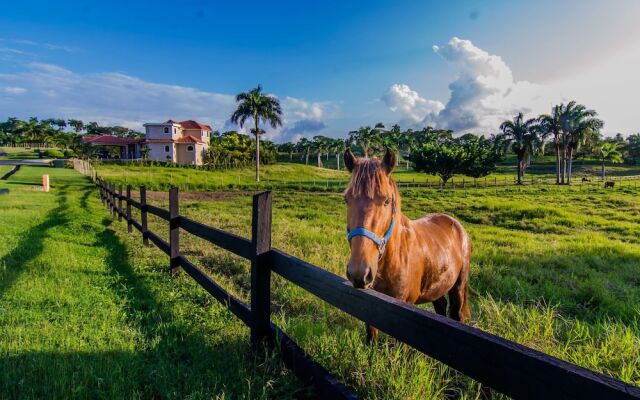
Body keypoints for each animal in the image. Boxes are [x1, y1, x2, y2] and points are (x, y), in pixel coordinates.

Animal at [342, 148, 472, 342]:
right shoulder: (371, 307)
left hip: (458, 288)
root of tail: (455, 223)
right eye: (346, 199)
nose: (359, 273)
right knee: (441, 308)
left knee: (456, 314)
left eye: (387, 201)